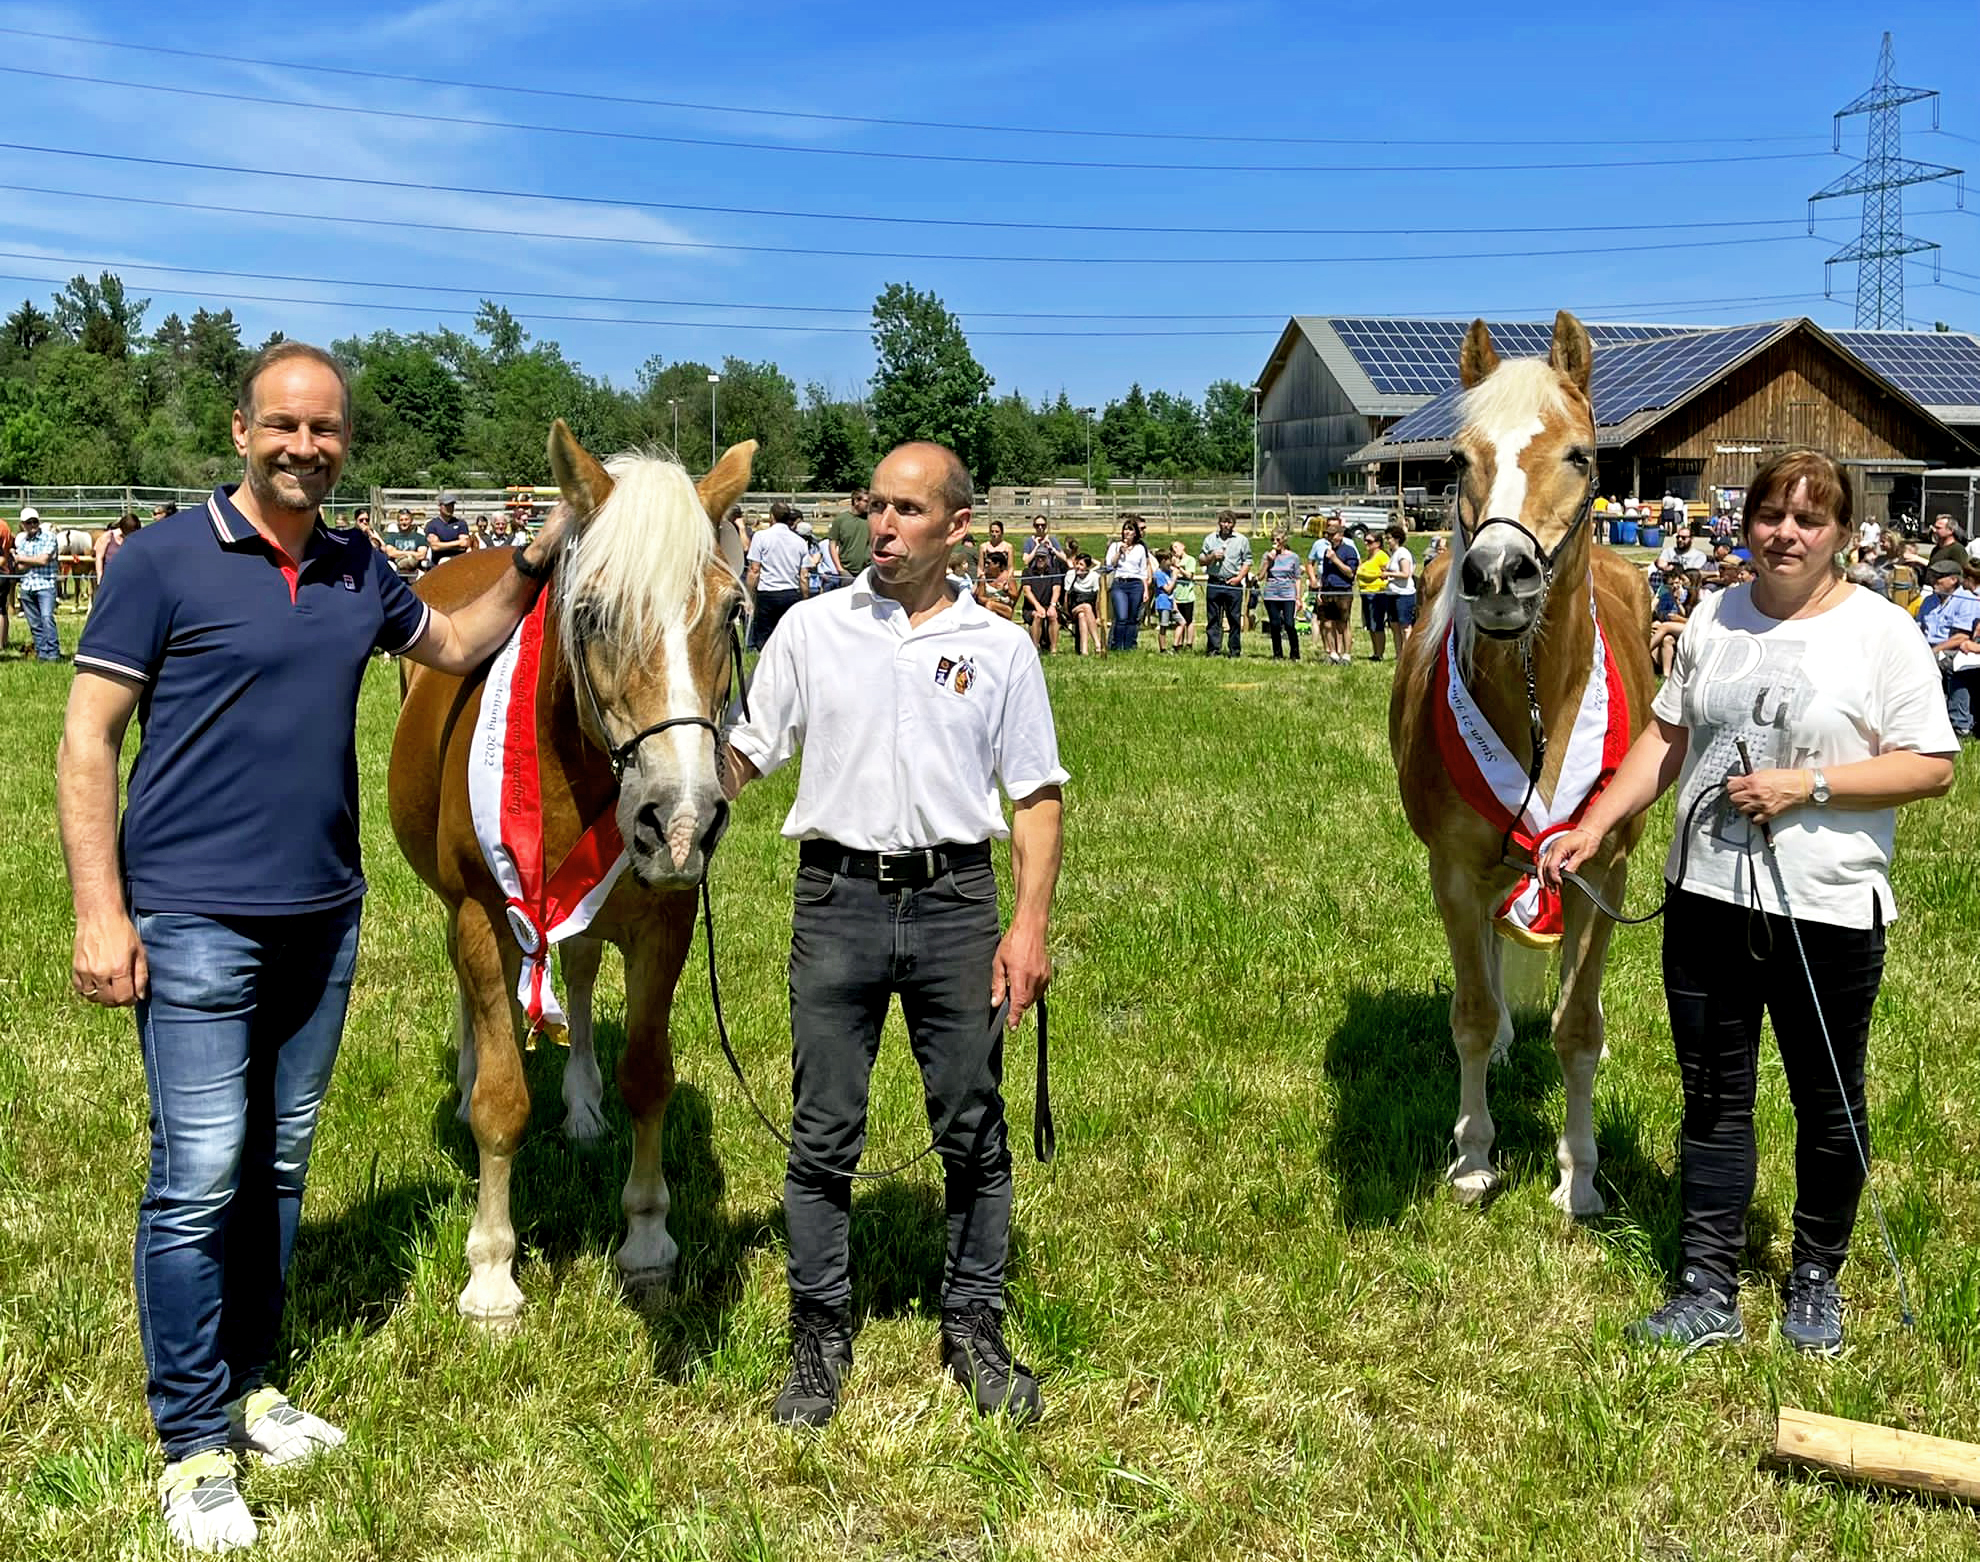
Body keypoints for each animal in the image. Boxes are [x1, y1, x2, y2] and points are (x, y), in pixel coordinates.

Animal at [389, 421, 755, 1320]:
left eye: (731, 610)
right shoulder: (482, 914)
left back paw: (583, 1106)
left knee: (582, 974)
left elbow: (648, 1076)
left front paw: (648, 1239)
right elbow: (502, 1100)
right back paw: (464, 1083)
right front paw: (491, 1271)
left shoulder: (664, 920)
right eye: (590, 612)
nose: (682, 820)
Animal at [1389, 311, 1655, 1217]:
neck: (1540, 701)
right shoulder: (1452, 868)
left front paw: (1581, 1174)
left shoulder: (1600, 872)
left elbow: (1578, 1027)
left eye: (1578, 455)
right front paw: (1474, 1158)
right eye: (1456, 460)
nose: (1498, 575)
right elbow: (1470, 1013)